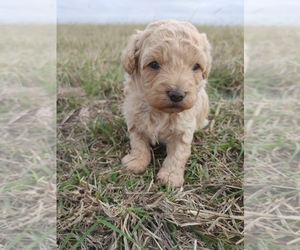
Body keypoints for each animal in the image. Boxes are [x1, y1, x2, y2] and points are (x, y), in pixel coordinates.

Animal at [120, 19, 211, 187]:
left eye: (196, 66)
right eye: (153, 64)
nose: (177, 95)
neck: (160, 112)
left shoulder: (183, 131)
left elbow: (177, 155)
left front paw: (170, 176)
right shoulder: (135, 122)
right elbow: (138, 145)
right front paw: (136, 162)